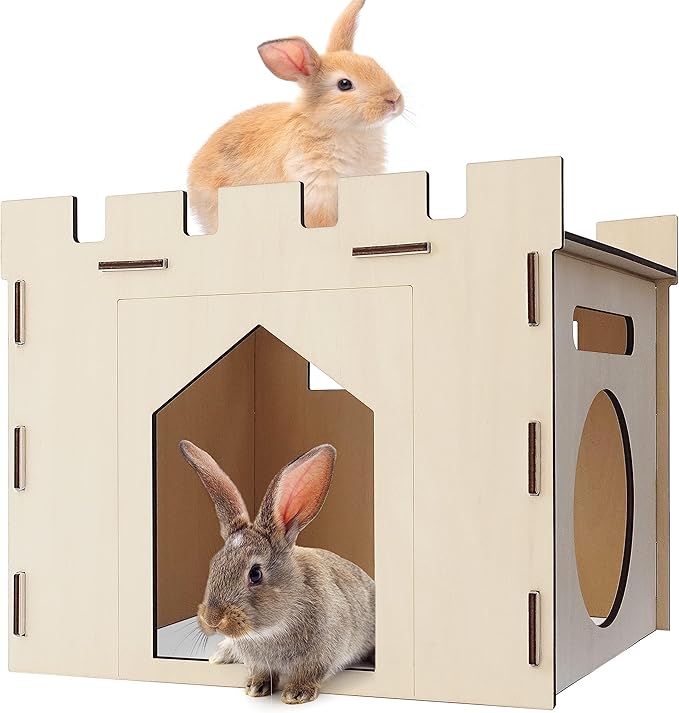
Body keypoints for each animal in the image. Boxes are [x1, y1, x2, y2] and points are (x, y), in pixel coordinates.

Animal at [179, 439, 375, 705]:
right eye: (214, 564)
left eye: (255, 574)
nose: (213, 620)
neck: (267, 631)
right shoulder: (259, 661)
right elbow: (262, 672)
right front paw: (255, 687)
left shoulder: (320, 656)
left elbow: (310, 674)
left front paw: (296, 693)